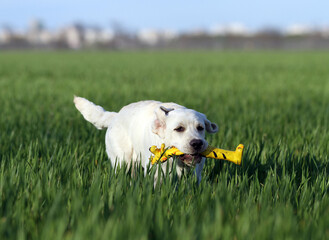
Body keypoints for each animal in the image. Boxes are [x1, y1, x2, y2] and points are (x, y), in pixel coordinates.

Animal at [74, 96, 218, 181]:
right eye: (179, 129)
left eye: (200, 128)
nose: (197, 143)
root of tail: (115, 116)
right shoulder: (158, 173)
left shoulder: (197, 173)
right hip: (122, 161)